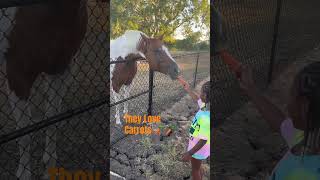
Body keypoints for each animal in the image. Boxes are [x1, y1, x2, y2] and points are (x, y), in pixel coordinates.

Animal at [0, 0, 87, 179]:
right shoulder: (16, 75)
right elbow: (24, 132)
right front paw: (24, 173)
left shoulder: (61, 69)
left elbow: (52, 118)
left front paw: (49, 167)